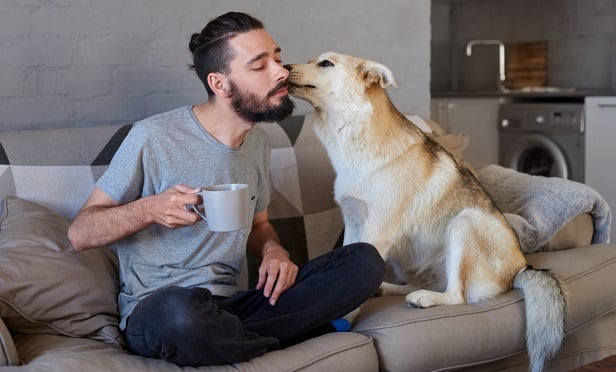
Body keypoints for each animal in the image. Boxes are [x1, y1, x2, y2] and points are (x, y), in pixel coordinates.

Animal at [288, 52, 568, 372]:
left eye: (325, 64)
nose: (284, 67)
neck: (356, 137)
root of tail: (522, 268)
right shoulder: (354, 222)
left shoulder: (375, 232)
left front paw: (344, 319)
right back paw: (392, 290)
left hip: (464, 222)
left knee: (458, 295)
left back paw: (424, 298)